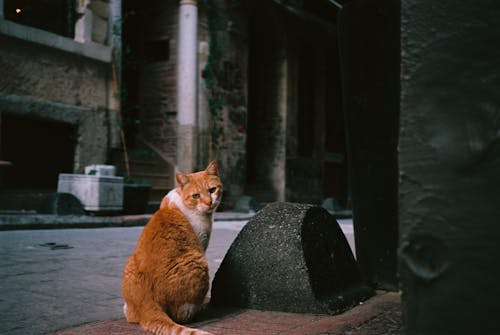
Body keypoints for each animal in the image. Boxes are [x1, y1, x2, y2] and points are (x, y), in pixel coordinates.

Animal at [121, 161, 223, 334]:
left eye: (212, 190)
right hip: (198, 261)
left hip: (129, 263)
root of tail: (147, 301)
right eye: (196, 196)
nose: (209, 202)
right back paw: (201, 306)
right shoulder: (201, 243)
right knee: (182, 314)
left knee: (131, 316)